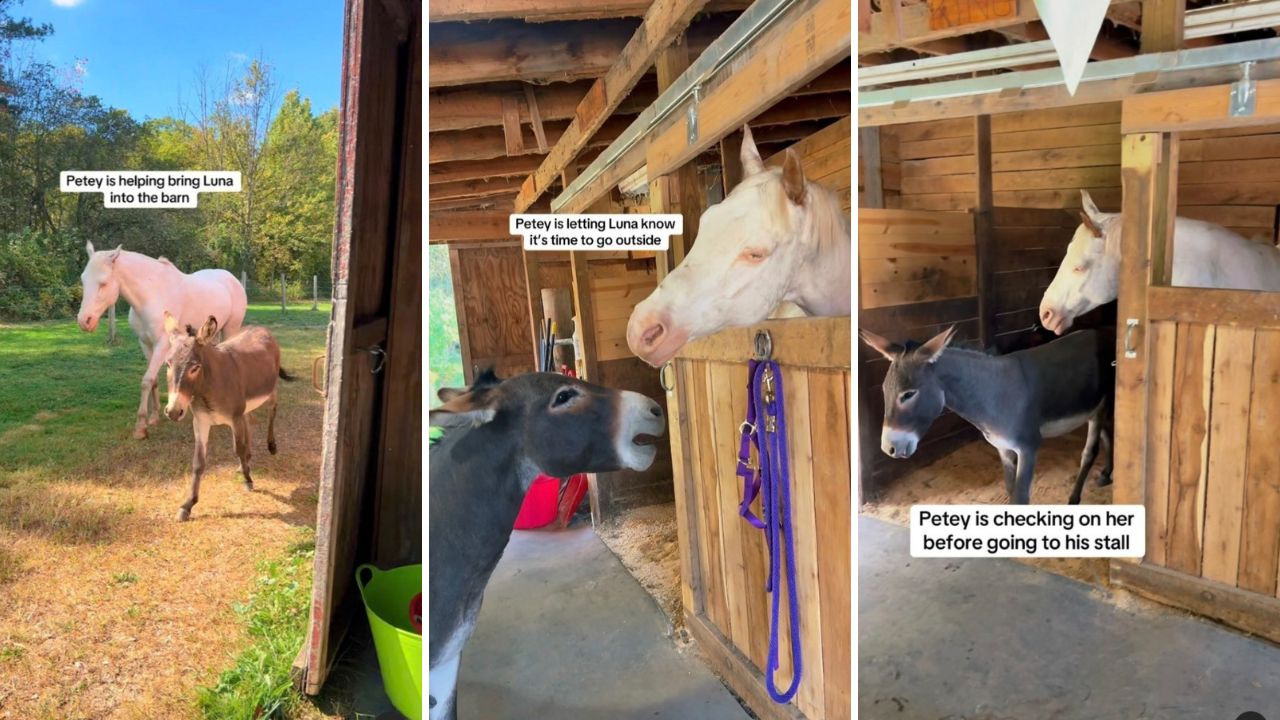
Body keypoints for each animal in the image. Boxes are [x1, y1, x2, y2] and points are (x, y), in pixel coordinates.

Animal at [77, 242, 247, 438]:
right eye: (83, 280)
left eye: (103, 283)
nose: (84, 321)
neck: (153, 294)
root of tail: (232, 279)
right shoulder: (145, 344)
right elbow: (154, 381)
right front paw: (153, 417)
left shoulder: (162, 344)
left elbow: (146, 381)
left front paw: (140, 427)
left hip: (230, 328)